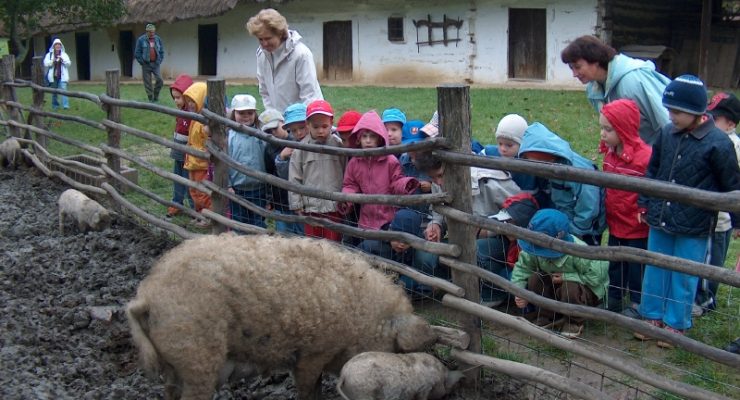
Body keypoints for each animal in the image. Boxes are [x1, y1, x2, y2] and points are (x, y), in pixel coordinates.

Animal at [125, 233, 440, 398]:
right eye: (397, 350)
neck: (362, 316)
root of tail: (147, 296)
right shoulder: (314, 352)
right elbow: (308, 388)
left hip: (174, 364)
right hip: (195, 356)